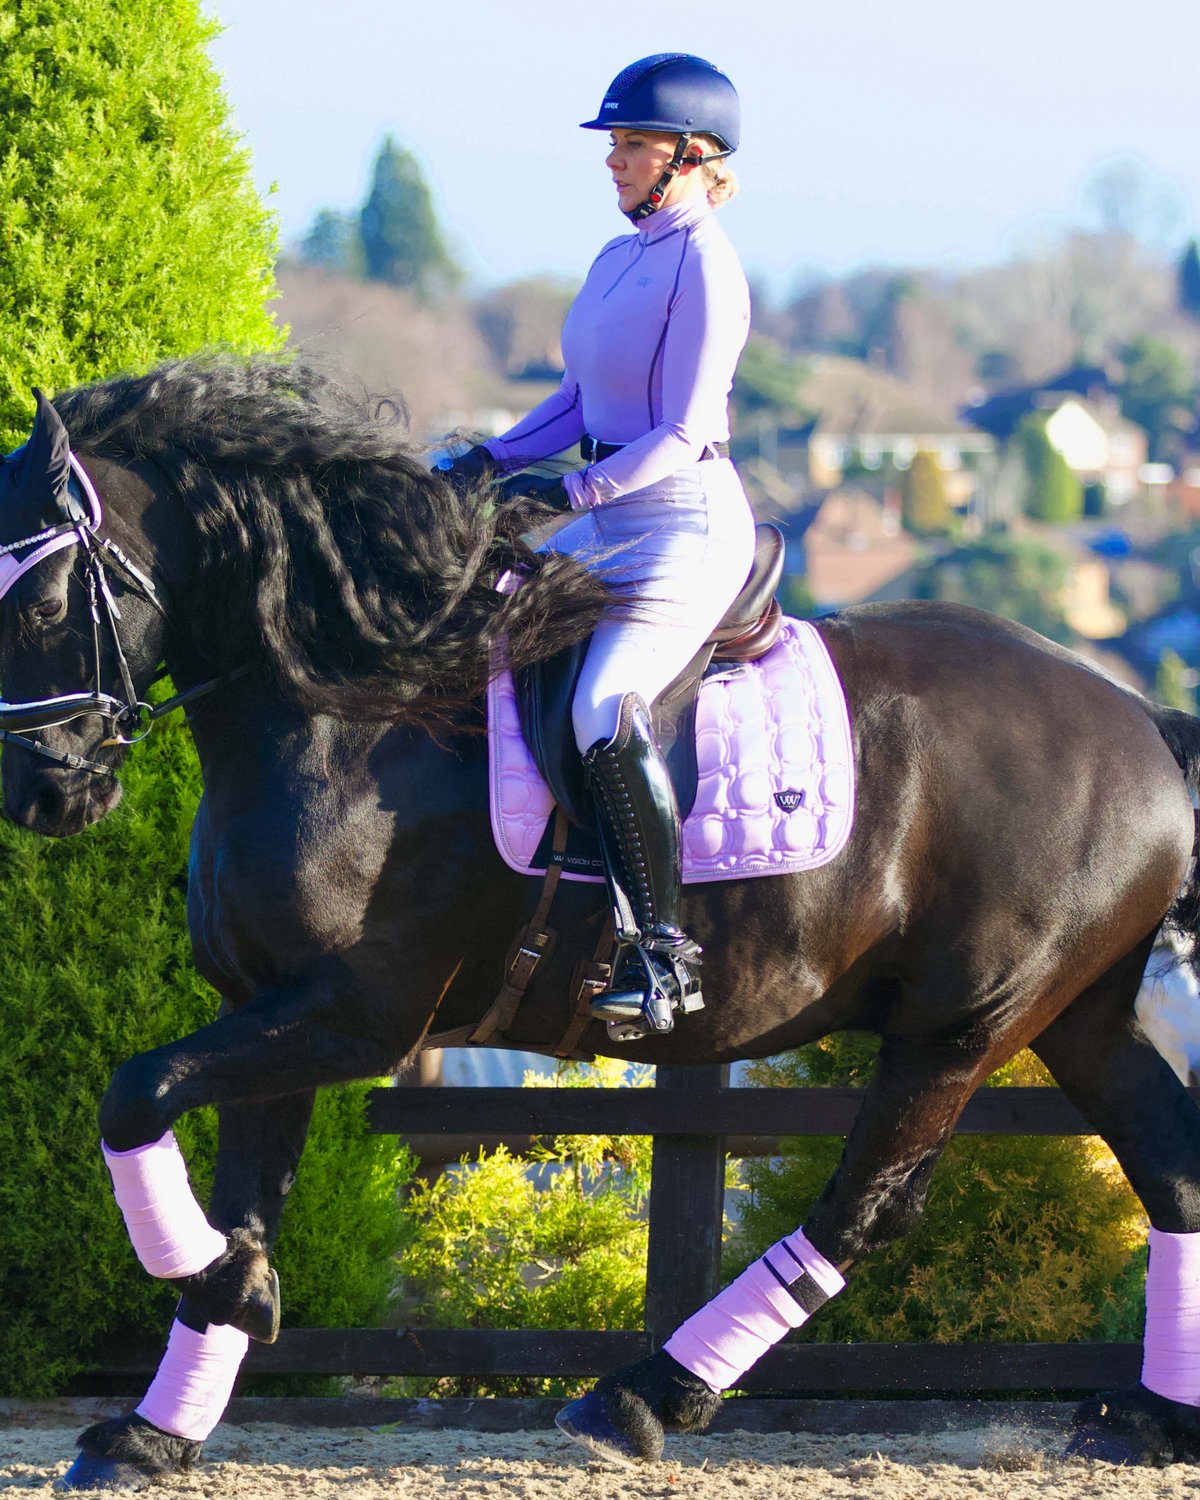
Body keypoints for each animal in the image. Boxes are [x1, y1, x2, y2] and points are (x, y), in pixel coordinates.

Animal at [3, 356, 1200, 1485]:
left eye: (44, 605)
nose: (42, 795)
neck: (352, 716)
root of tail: (1137, 715)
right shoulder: (266, 1002)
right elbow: (235, 1186)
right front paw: (162, 1419)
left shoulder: (358, 1016)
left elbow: (133, 1092)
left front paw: (214, 1285)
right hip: (1079, 1014)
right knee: (1173, 1165)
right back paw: (1148, 1418)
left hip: (959, 1027)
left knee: (864, 1208)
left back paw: (641, 1395)